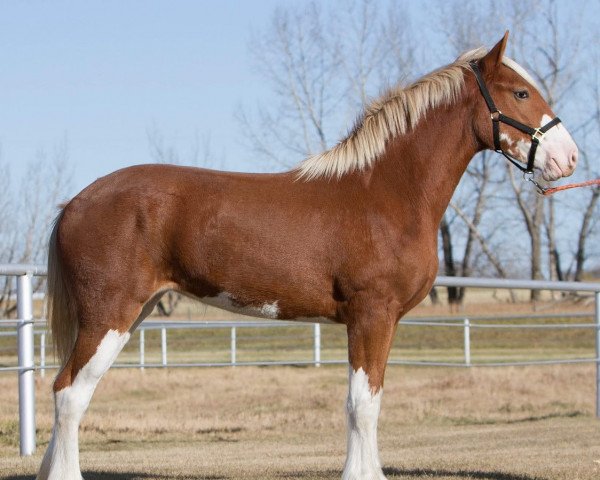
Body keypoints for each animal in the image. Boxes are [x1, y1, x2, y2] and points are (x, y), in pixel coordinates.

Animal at [36, 33, 576, 480]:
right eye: (521, 93)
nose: (568, 158)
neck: (387, 191)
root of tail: (75, 203)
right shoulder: (371, 314)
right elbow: (362, 404)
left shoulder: (381, 321)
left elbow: (373, 399)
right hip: (110, 313)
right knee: (70, 393)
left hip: (133, 310)